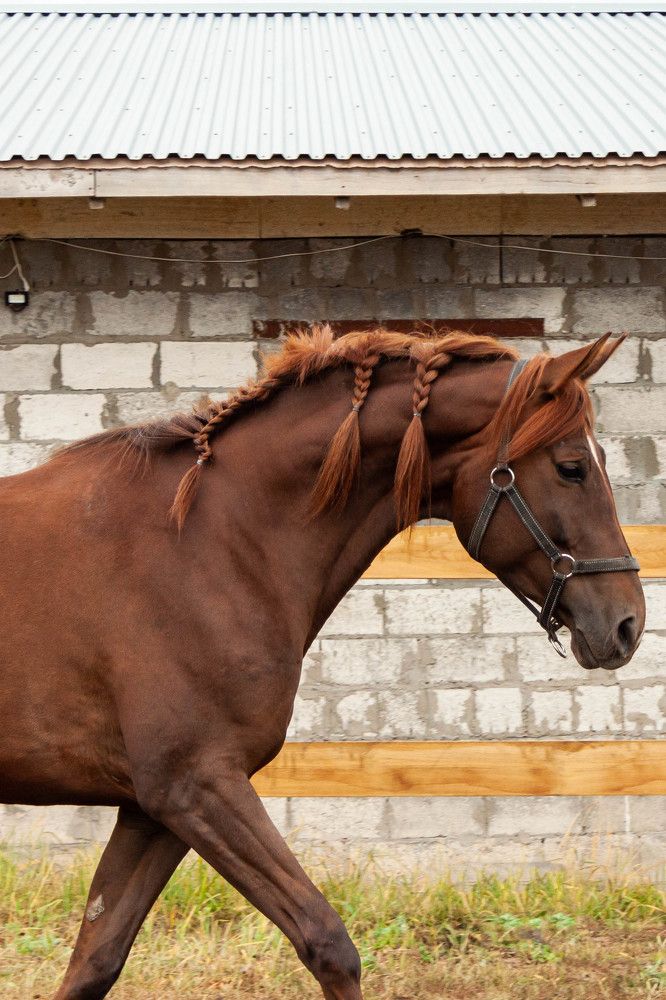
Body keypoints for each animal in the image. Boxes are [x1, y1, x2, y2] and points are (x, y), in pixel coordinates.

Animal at [0, 325, 644, 1000]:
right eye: (572, 467)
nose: (627, 623)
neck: (205, 542)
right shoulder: (195, 784)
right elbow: (328, 942)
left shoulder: (154, 809)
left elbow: (95, 959)